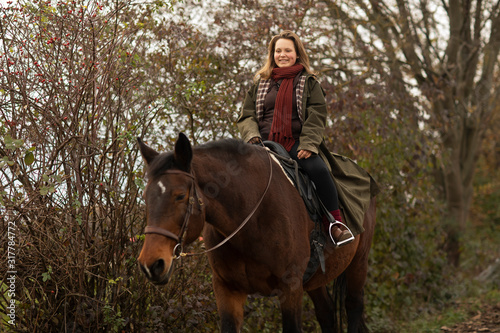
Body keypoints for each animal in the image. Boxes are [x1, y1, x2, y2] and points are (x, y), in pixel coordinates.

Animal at [136, 133, 376, 332]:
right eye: (146, 196)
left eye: (179, 196)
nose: (151, 264)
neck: (251, 218)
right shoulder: (227, 290)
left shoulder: (290, 288)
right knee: (326, 314)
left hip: (359, 263)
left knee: (353, 307)